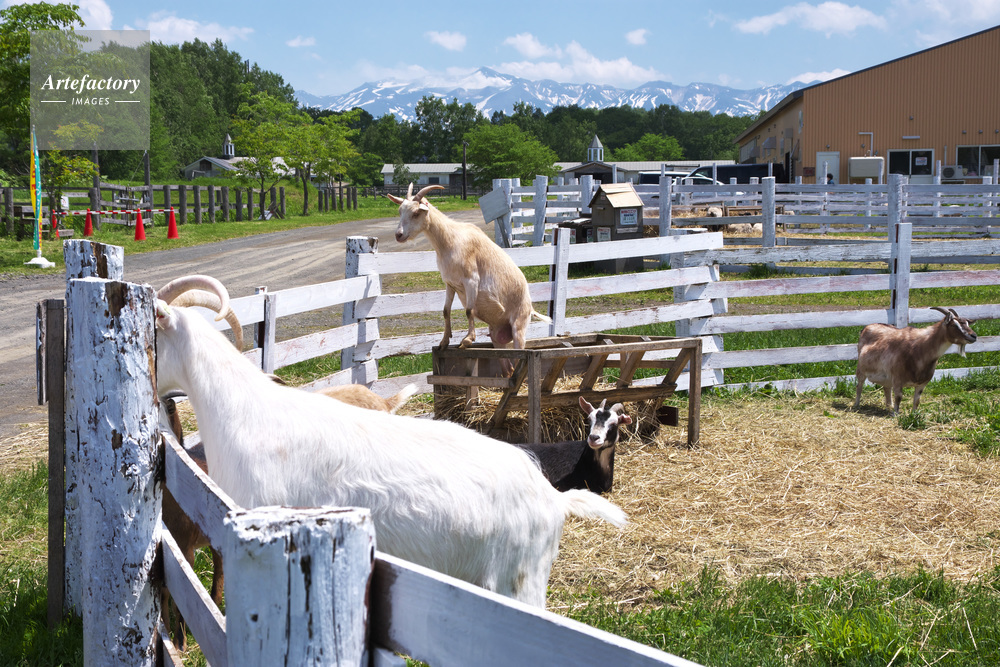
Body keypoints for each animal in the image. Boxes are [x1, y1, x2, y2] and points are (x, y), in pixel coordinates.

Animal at [388, 183, 552, 374]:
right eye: (400, 211)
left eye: (415, 213)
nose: (398, 235)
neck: (450, 240)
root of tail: (531, 307)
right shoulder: (450, 283)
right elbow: (445, 311)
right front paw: (444, 342)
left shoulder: (471, 280)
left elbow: (469, 310)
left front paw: (467, 340)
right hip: (497, 337)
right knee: (508, 368)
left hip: (519, 326)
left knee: (520, 358)